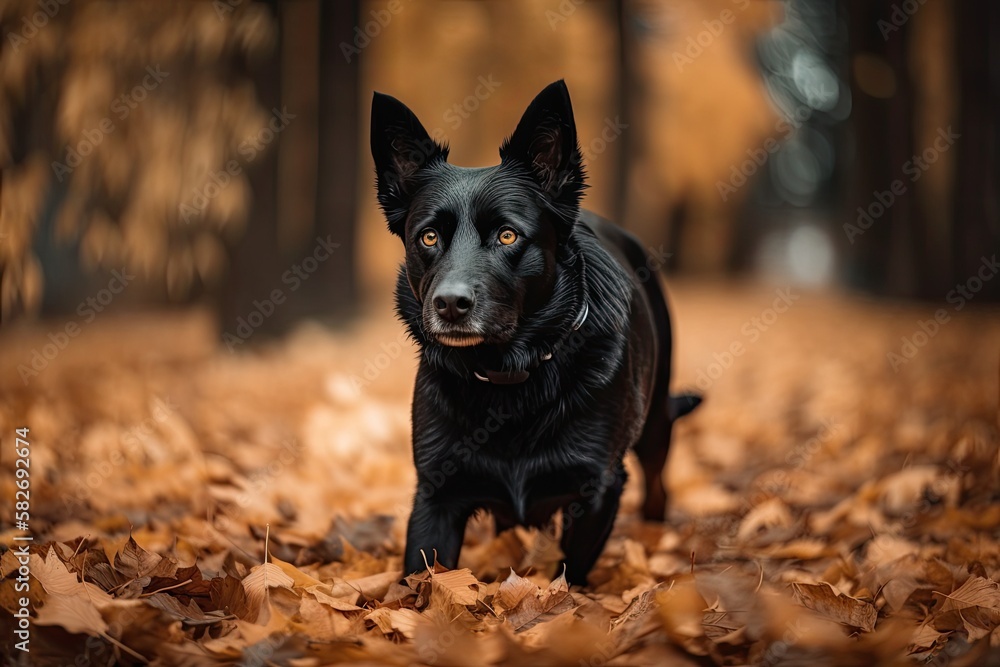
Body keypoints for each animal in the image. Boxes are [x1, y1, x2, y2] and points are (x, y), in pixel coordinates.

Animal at [372, 79, 700, 584]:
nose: (450, 304)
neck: (508, 377)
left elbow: (570, 575)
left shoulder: (597, 488)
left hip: (656, 425)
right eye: (428, 237)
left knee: (658, 484)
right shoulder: (436, 493)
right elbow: (423, 579)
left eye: (507, 235)